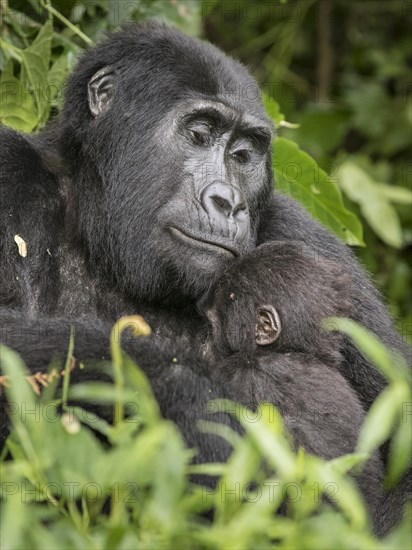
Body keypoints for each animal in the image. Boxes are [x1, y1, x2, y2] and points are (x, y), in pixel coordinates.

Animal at [0, 22, 408, 470]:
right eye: (198, 134)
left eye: (243, 154)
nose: (228, 201)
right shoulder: (12, 172)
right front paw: (186, 391)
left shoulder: (306, 237)